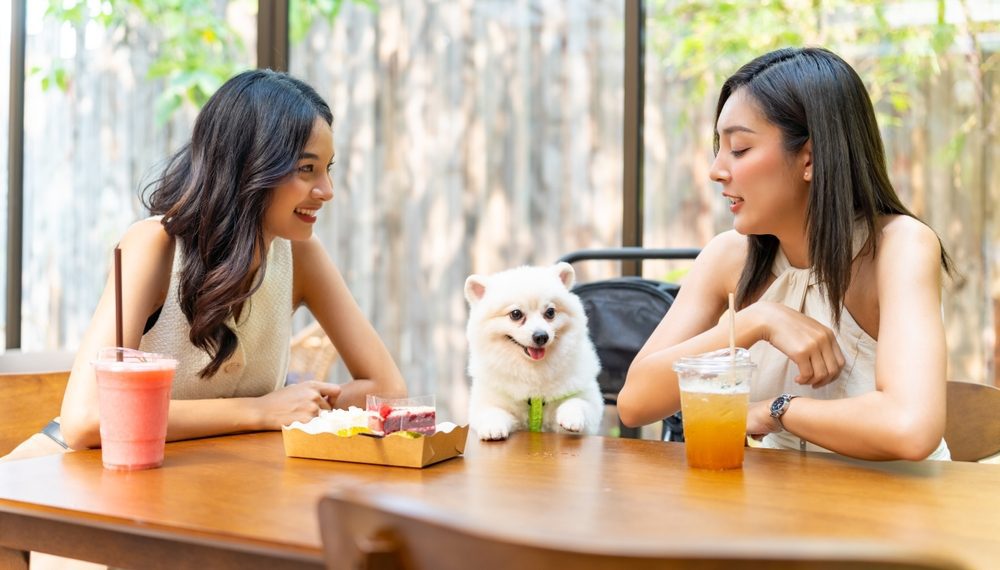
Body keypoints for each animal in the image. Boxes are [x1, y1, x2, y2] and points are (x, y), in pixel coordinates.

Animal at [462, 262, 600, 440]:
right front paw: (493, 428)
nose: (541, 336)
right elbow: (491, 411)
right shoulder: (488, 400)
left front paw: (571, 417)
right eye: (516, 314)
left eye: (550, 312)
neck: (533, 372)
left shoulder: (588, 400)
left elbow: (577, 402)